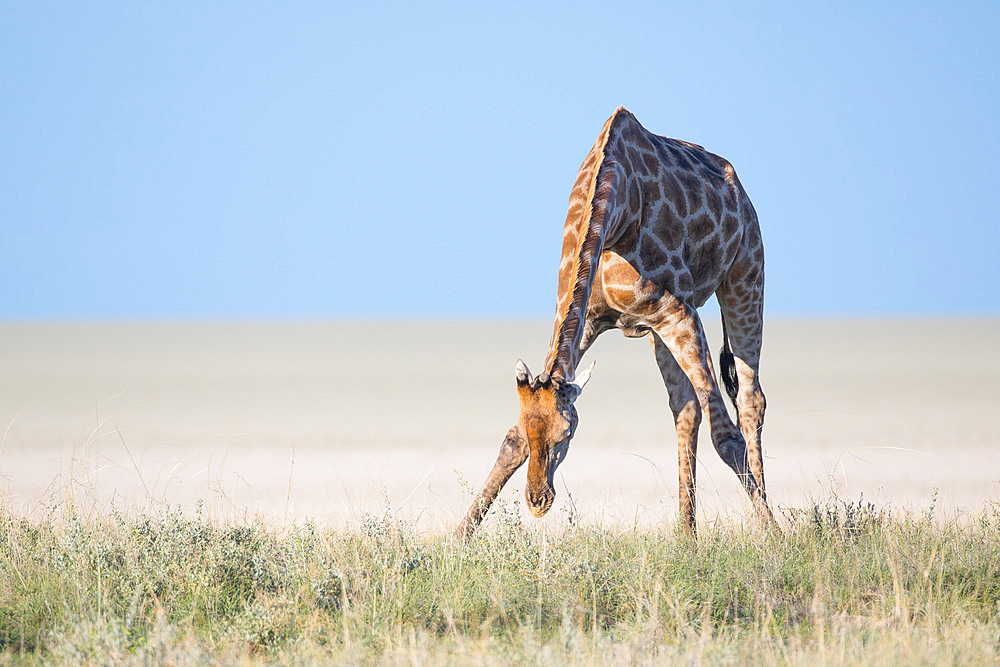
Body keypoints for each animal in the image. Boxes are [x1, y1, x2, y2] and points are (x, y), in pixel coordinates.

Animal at [458, 107, 776, 540]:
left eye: (567, 433)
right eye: (527, 431)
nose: (538, 501)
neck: (617, 209)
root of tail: (736, 185)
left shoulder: (680, 313)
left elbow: (725, 433)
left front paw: (775, 536)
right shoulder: (591, 321)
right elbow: (510, 441)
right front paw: (456, 538)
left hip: (746, 274)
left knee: (748, 401)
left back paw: (760, 527)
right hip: (660, 333)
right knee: (686, 410)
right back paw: (686, 537)